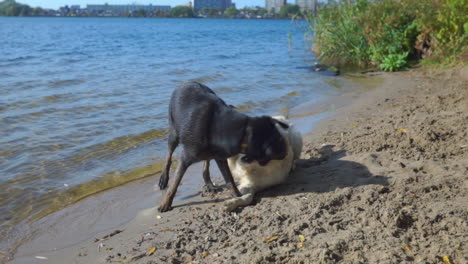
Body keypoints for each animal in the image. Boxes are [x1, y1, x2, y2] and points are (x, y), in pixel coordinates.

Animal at [159, 81, 288, 211]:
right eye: (280, 141)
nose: (286, 151)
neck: (243, 133)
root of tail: (187, 82)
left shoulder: (221, 158)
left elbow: (230, 180)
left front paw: (238, 197)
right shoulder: (186, 158)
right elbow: (175, 183)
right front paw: (166, 203)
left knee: (206, 162)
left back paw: (209, 183)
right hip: (174, 133)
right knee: (169, 155)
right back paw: (164, 179)